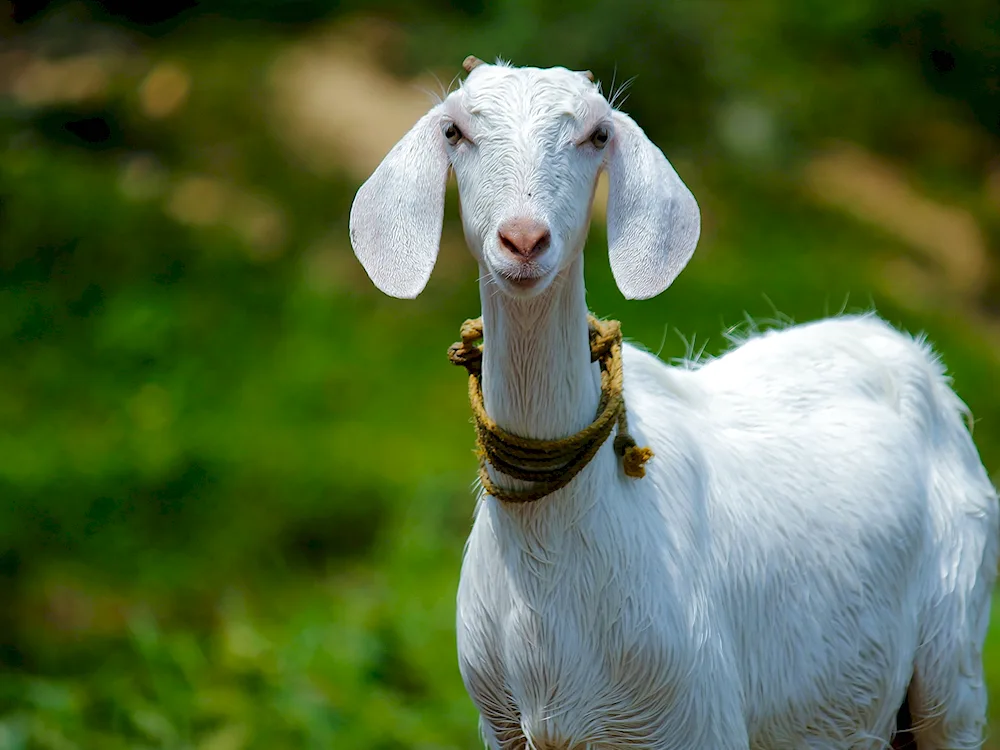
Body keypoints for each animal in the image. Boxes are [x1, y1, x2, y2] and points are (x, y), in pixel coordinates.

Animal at [348, 58, 996, 750]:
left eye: (597, 134)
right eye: (455, 130)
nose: (523, 241)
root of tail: (909, 353)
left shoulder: (697, 717)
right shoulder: (502, 726)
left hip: (955, 654)